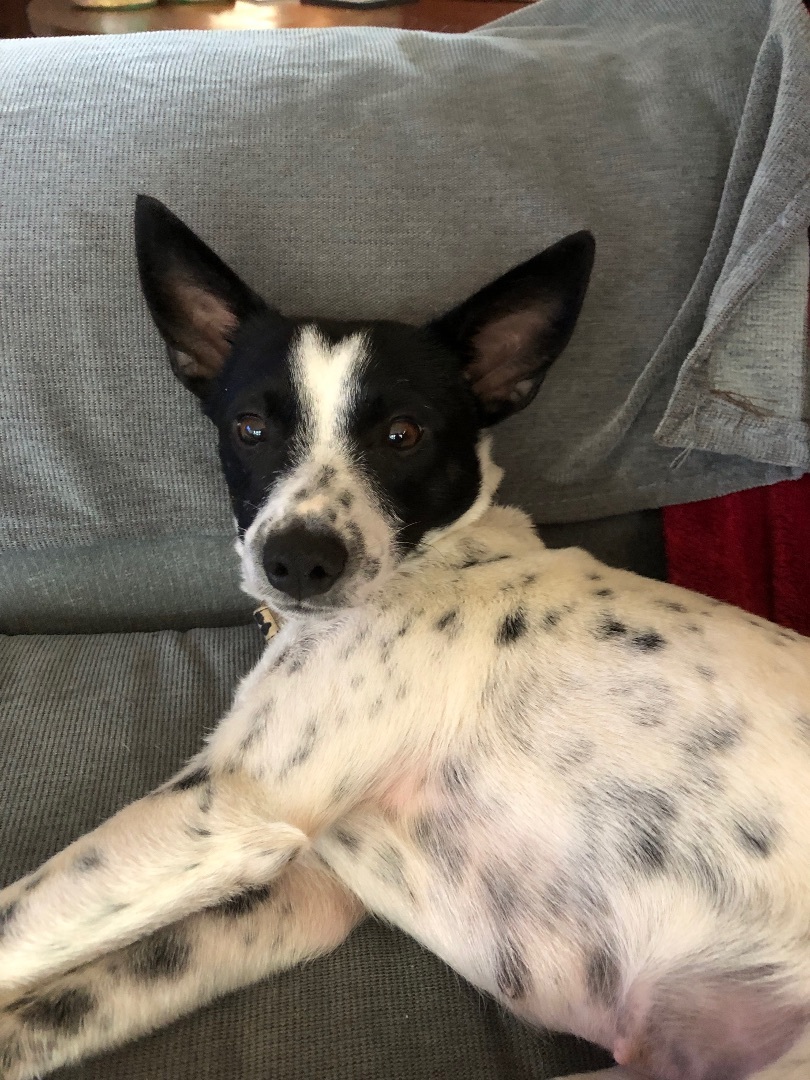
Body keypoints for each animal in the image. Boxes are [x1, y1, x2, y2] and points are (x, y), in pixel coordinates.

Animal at [1, 196, 810, 1080]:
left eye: (403, 435)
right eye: (249, 427)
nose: (298, 560)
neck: (436, 559)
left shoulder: (232, 806)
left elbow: (13, 923)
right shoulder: (308, 889)